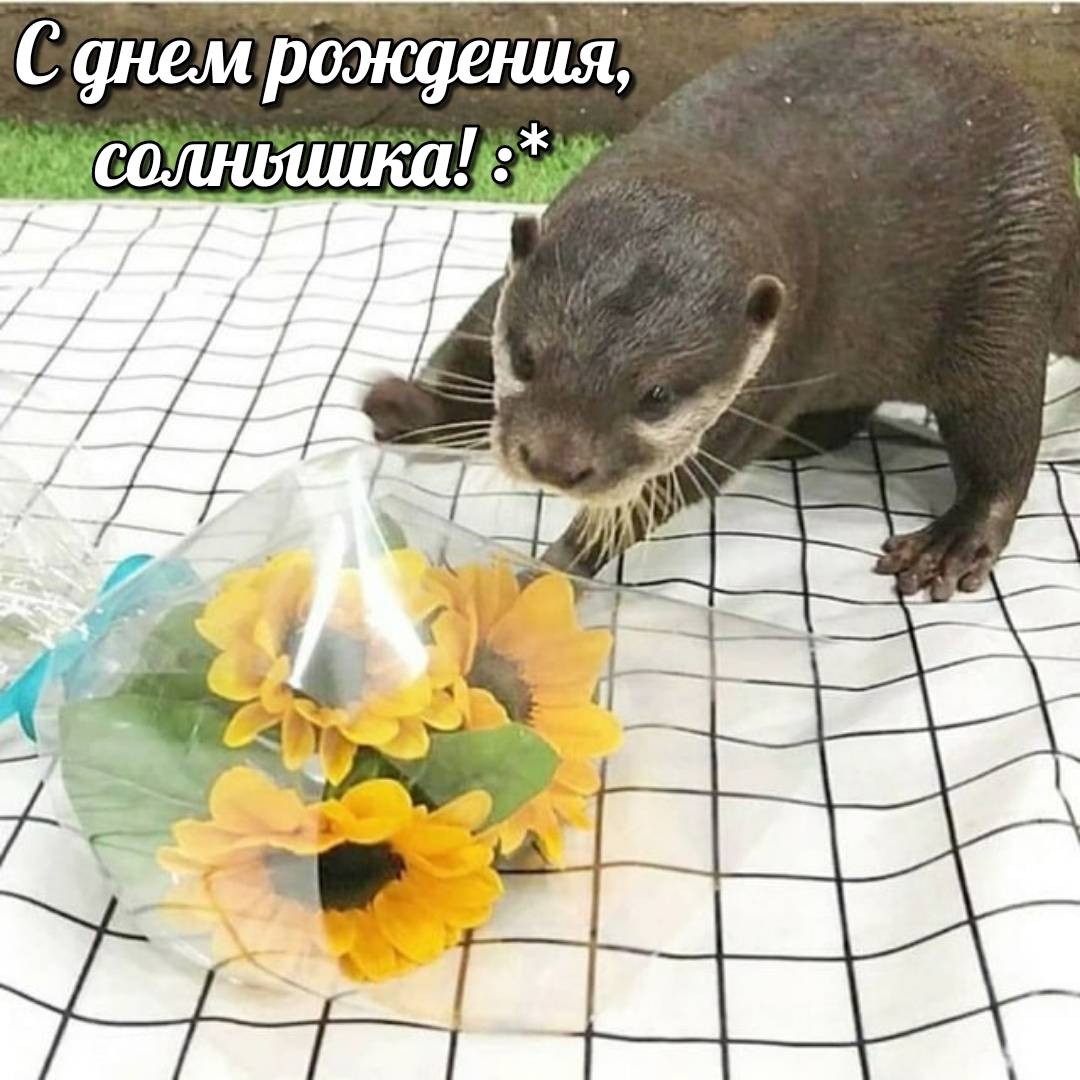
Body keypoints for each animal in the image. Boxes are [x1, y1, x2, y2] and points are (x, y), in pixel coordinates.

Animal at [362, 18, 1080, 601]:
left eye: (656, 396)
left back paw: (953, 540)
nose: (554, 465)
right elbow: (464, 343)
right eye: (527, 357)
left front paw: (546, 575)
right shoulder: (508, 286)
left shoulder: (763, 376)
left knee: (1002, 440)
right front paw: (405, 408)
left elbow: (657, 493)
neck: (717, 166)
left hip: (1006, 297)